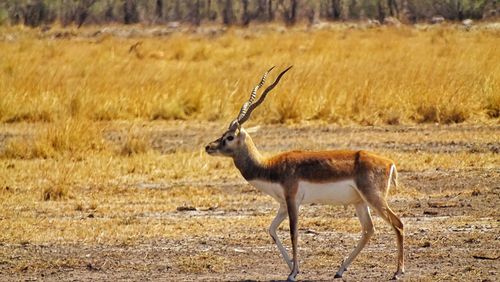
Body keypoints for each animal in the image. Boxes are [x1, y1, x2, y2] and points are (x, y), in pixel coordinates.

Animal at [205, 67, 404, 280]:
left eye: (229, 137)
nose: (209, 147)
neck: (270, 166)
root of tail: (389, 163)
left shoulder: (293, 201)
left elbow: (294, 233)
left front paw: (293, 273)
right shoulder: (283, 204)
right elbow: (272, 230)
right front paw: (294, 268)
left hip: (374, 199)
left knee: (398, 224)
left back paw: (397, 272)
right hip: (360, 202)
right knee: (368, 229)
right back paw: (340, 270)